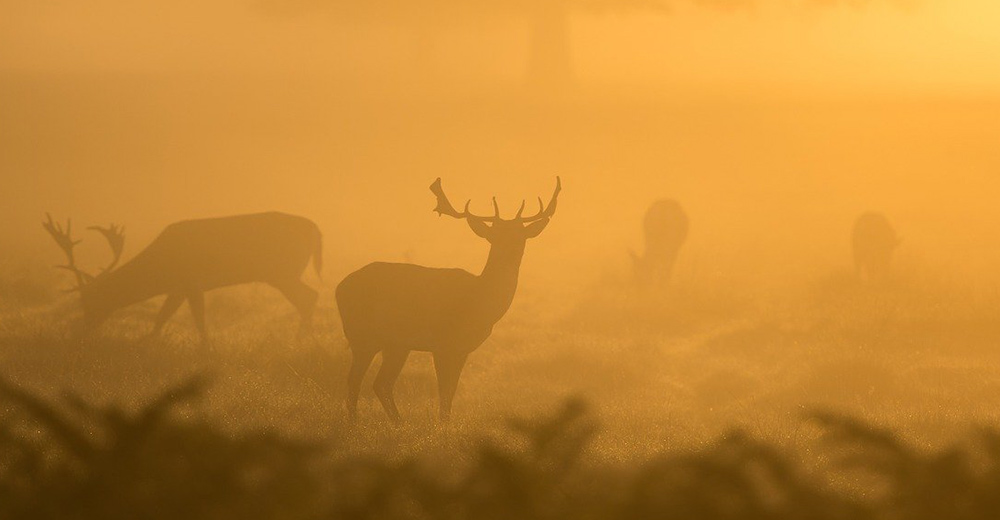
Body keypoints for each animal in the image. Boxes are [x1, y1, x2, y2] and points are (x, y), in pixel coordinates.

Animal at [43, 212, 322, 341]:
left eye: (90, 300)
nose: (82, 330)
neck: (161, 269)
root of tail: (316, 228)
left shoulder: (191, 282)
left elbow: (198, 319)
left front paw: (205, 350)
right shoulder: (177, 288)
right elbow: (161, 318)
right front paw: (148, 341)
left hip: (283, 272)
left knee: (309, 296)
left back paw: (301, 340)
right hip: (283, 273)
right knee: (309, 296)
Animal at [336, 177, 561, 422]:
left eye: (521, 235)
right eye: (494, 235)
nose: (510, 252)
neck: (480, 301)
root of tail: (339, 288)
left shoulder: (462, 349)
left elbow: (451, 392)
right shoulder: (442, 343)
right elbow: (444, 392)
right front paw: (442, 424)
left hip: (395, 344)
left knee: (381, 383)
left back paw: (398, 423)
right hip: (362, 335)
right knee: (355, 381)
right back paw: (356, 422)